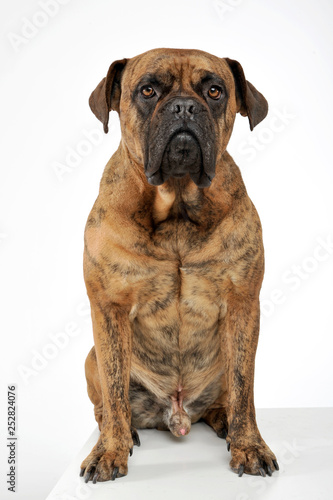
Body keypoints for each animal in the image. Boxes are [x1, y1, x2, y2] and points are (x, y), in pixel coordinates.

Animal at [80, 48, 278, 482]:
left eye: (215, 90)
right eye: (148, 90)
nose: (185, 106)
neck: (178, 205)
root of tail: (176, 412)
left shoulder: (243, 306)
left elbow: (245, 388)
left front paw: (249, 446)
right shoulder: (108, 309)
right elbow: (114, 389)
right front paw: (111, 450)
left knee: (229, 397)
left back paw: (223, 421)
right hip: (91, 357)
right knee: (106, 404)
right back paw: (123, 433)